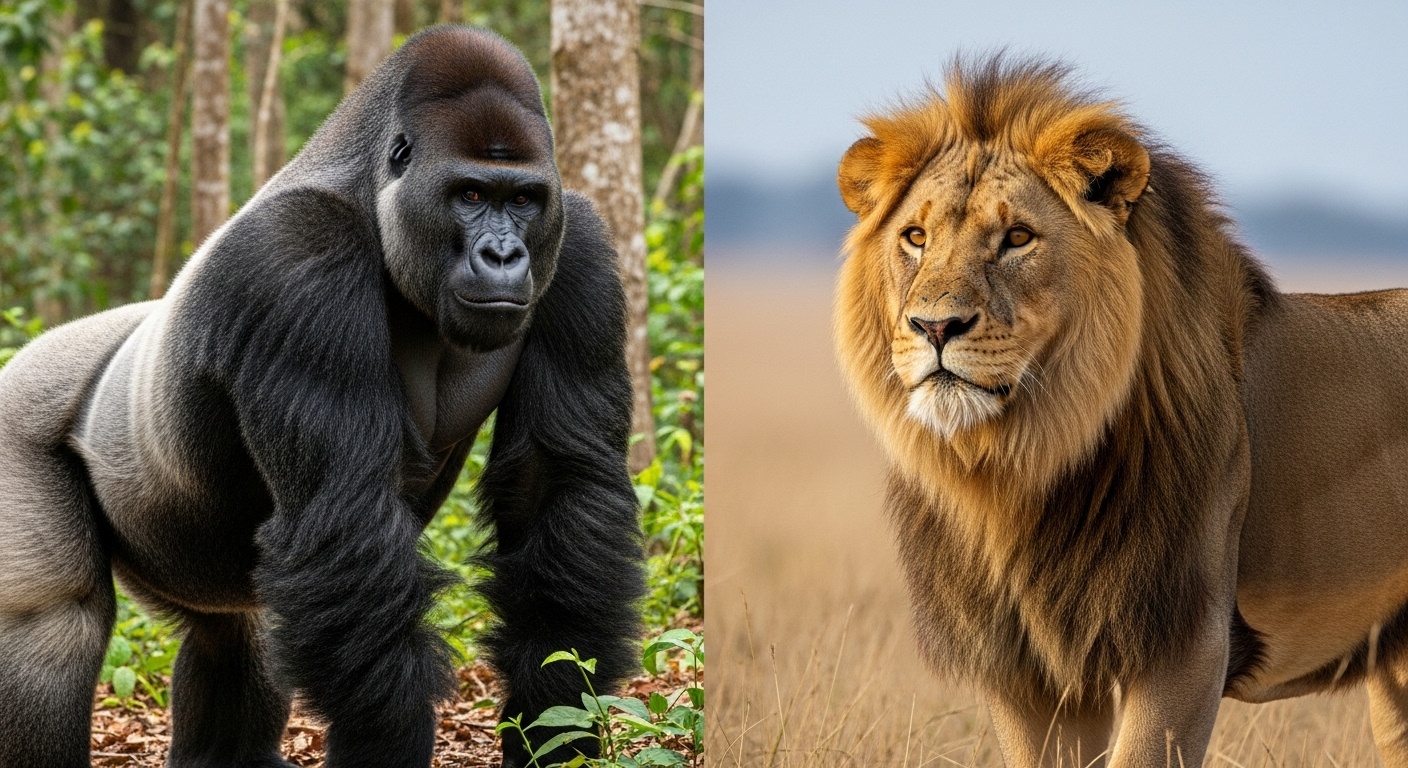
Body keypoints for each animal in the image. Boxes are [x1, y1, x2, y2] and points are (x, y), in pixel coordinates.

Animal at [0, 25, 643, 768]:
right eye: (470, 195)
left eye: (522, 201)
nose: (505, 257)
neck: (372, 192)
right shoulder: (299, 258)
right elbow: (346, 520)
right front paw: (390, 740)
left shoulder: (580, 245)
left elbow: (555, 489)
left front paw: (554, 717)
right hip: (20, 411)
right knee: (55, 627)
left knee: (235, 634)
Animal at [833, 55, 1408, 767]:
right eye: (915, 236)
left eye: (1017, 238)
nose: (935, 326)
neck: (1018, 471)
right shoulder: (1025, 666)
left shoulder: (1185, 644)